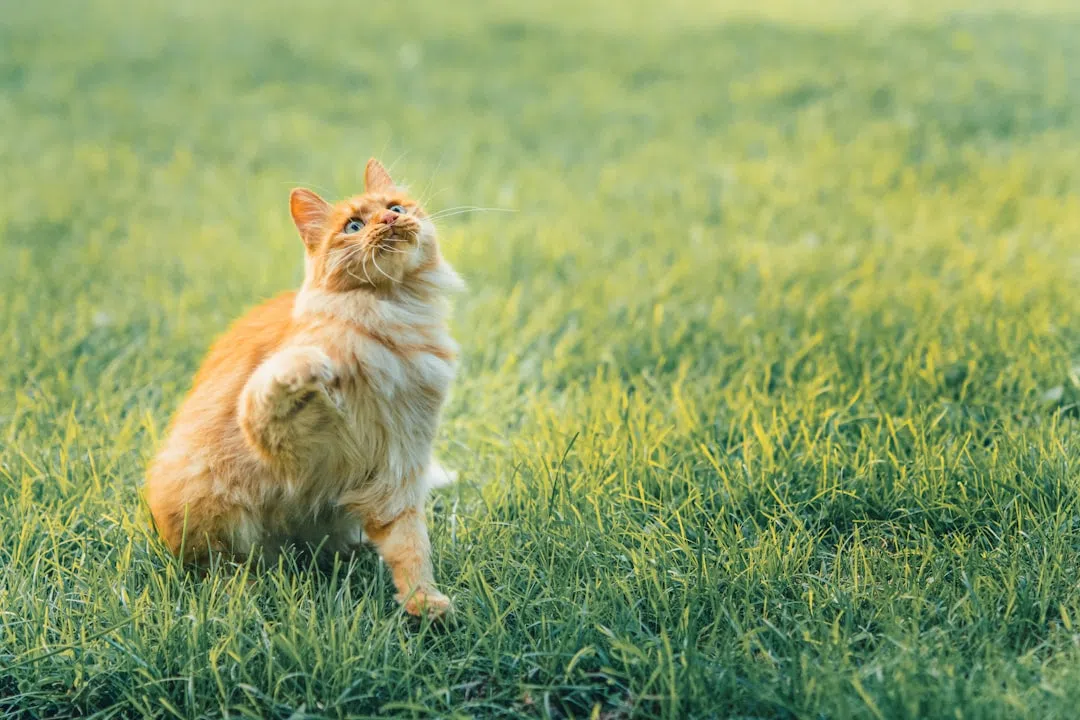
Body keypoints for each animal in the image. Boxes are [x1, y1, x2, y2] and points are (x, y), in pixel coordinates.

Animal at [144, 160, 464, 617]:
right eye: (353, 226)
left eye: (396, 208)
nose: (389, 221)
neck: (393, 316)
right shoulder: (284, 442)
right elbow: (276, 382)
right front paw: (319, 364)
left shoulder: (399, 462)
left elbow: (410, 545)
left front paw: (424, 601)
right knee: (221, 568)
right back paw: (242, 591)